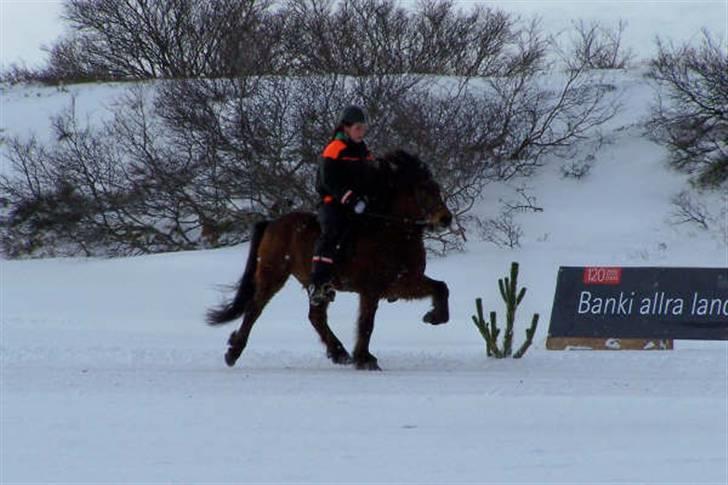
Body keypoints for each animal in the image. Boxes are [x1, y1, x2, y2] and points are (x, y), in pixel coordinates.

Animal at [205, 149, 452, 368]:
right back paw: (233, 352)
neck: (391, 231)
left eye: (437, 189)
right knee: (254, 309)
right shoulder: (373, 289)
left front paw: (434, 317)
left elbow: (441, 287)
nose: (446, 218)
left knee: (315, 316)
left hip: (316, 286)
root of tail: (272, 223)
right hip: (272, 274)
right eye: (423, 190)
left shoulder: (403, 282)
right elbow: (366, 323)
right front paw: (365, 359)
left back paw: (339, 353)